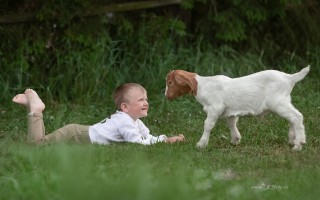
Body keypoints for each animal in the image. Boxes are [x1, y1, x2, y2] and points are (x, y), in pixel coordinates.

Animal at [165, 65, 310, 150]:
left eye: (170, 82)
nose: (166, 96)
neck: (204, 85)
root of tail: (289, 78)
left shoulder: (215, 108)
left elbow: (208, 125)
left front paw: (201, 144)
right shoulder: (229, 111)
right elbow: (231, 123)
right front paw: (235, 140)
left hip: (278, 102)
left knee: (297, 116)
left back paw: (299, 144)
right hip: (284, 102)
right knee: (292, 118)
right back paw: (292, 140)